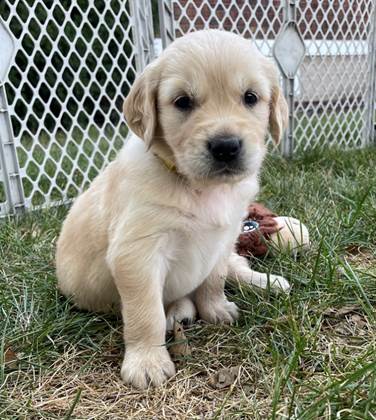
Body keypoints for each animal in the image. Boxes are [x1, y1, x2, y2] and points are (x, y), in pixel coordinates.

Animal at [55, 29, 290, 388]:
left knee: (237, 267)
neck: (197, 186)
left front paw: (216, 308)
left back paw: (268, 282)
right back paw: (179, 311)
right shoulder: (137, 253)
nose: (226, 147)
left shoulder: (223, 238)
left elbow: (214, 279)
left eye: (250, 97)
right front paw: (147, 362)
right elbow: (145, 312)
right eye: (182, 102)